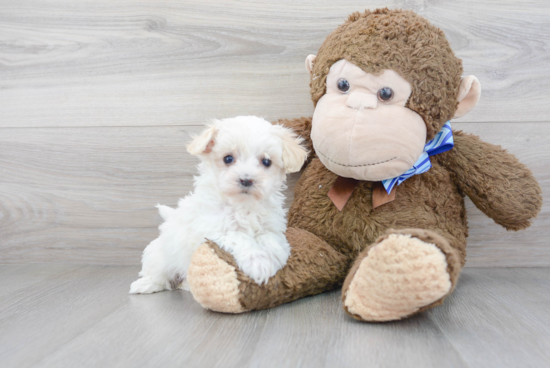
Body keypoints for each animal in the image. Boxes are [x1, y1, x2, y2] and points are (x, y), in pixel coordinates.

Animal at [130, 116, 310, 294]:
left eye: (266, 162)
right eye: (228, 158)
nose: (246, 179)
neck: (243, 205)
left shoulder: (271, 227)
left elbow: (273, 241)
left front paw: (273, 260)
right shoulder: (214, 227)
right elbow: (239, 237)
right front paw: (257, 262)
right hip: (159, 257)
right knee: (159, 276)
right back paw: (144, 285)